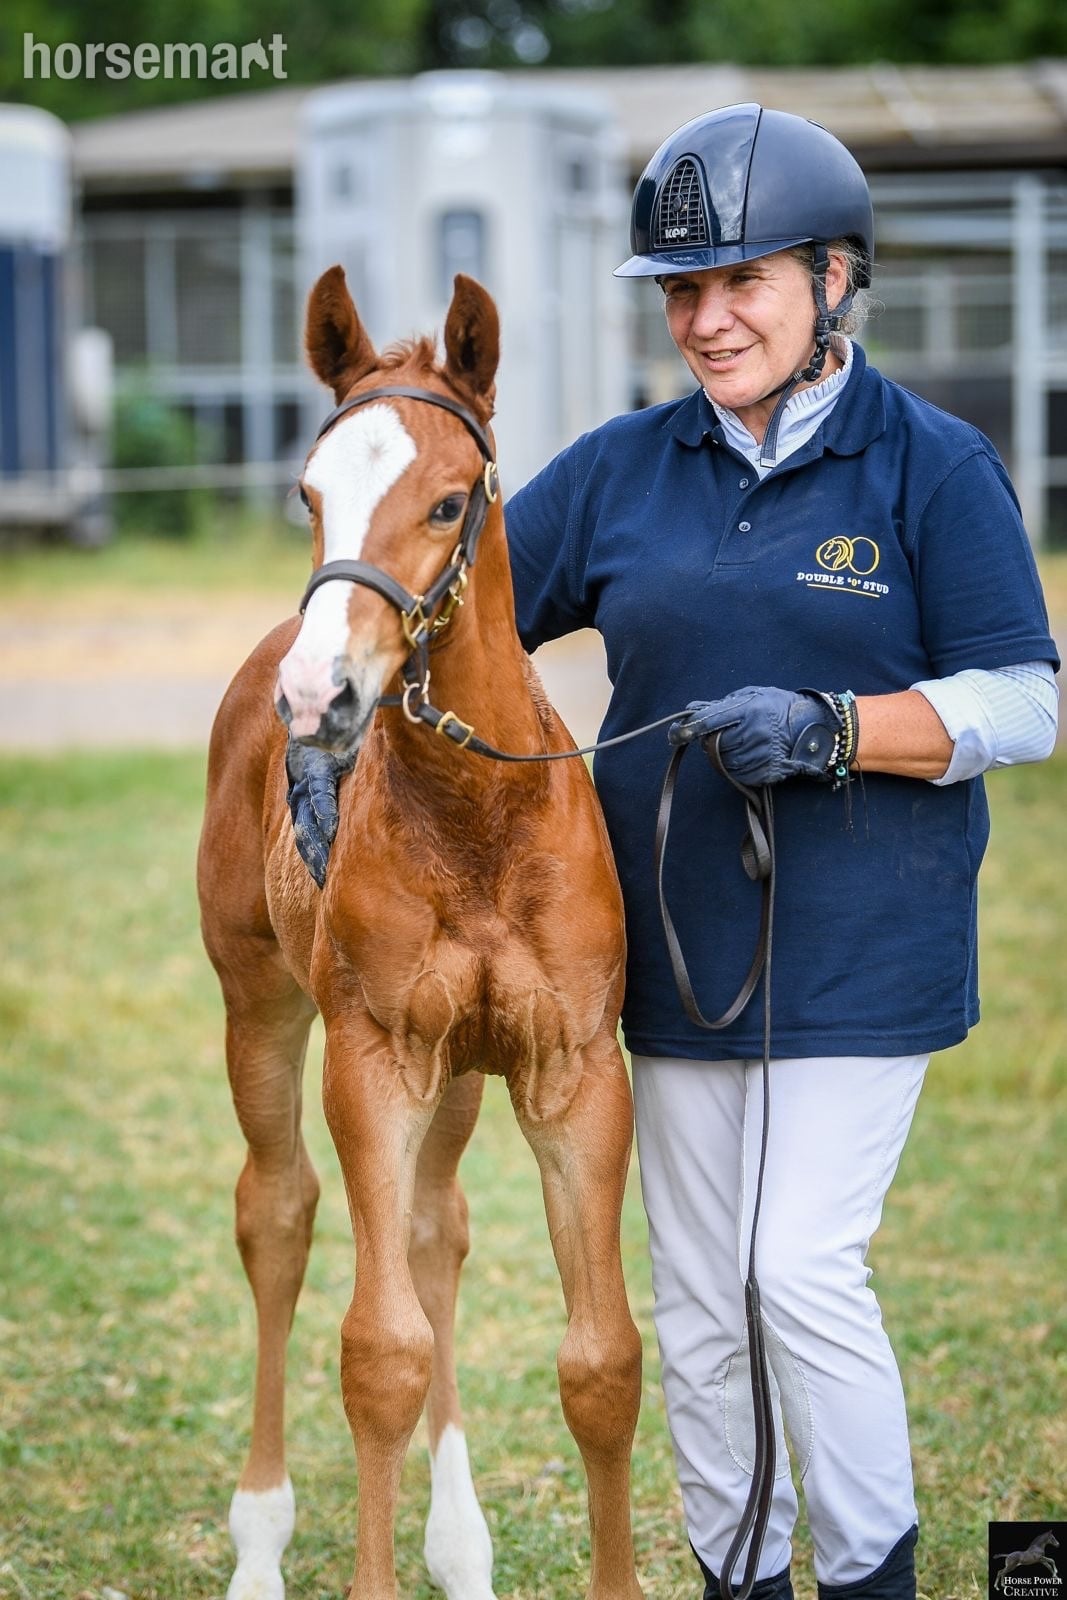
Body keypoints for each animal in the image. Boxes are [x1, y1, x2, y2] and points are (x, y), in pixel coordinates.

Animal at [197, 265, 644, 1600]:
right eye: (308, 493)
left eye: (449, 501)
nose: (318, 695)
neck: (476, 822)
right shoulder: (374, 1058)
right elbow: (378, 1353)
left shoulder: (571, 1071)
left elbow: (601, 1361)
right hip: (259, 1004)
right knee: (278, 1213)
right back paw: (259, 1540)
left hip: (460, 1072)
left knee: (436, 1230)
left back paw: (460, 1542)